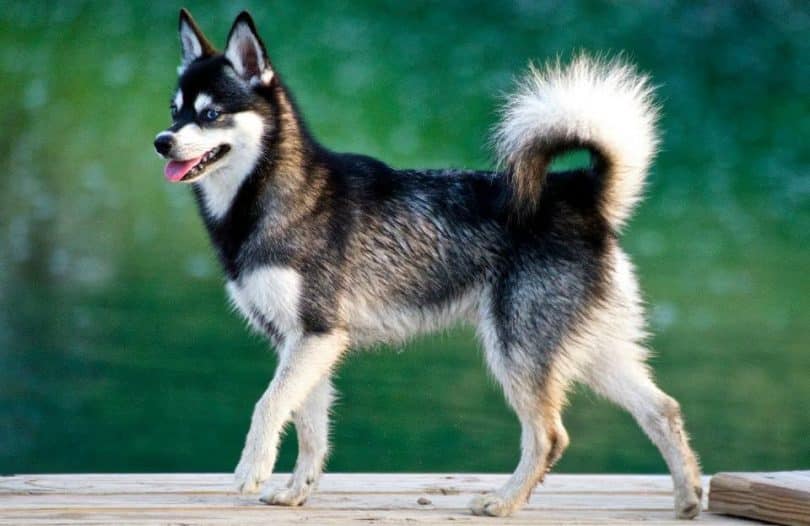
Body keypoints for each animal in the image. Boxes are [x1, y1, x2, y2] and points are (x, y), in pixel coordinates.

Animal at [152, 10, 700, 520]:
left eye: (211, 113)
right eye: (175, 111)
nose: (162, 141)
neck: (270, 194)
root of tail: (579, 191)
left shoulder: (315, 336)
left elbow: (267, 405)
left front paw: (251, 469)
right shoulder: (303, 344)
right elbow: (309, 428)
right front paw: (295, 492)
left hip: (518, 351)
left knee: (549, 436)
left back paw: (503, 502)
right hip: (590, 351)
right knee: (663, 410)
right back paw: (689, 497)